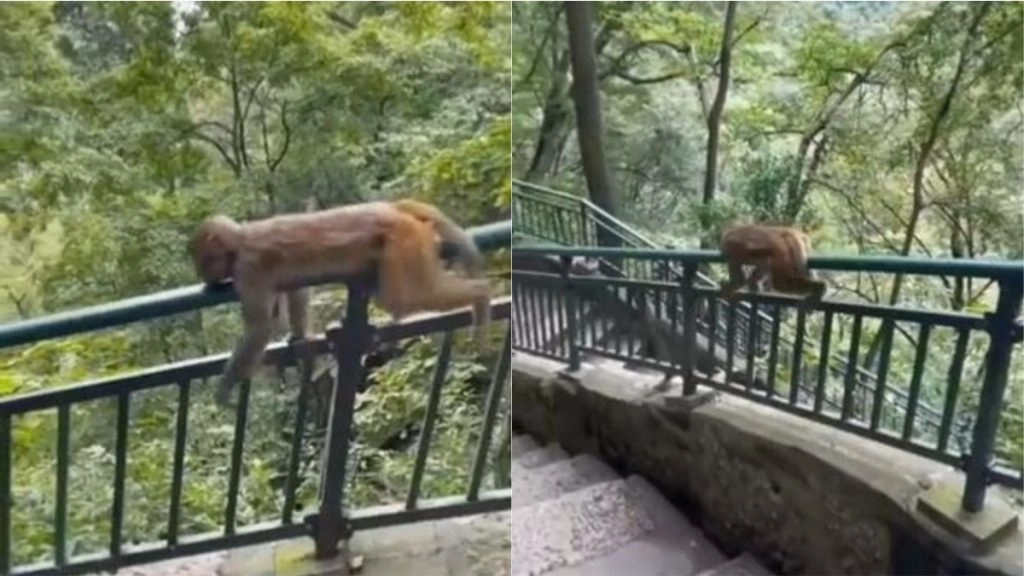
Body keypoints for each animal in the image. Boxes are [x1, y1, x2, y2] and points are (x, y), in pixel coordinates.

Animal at [188, 200, 489, 408]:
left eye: (203, 260)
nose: (203, 275)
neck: (238, 243)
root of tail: (390, 209)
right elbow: (295, 290)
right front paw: (297, 335)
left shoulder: (247, 269)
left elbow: (260, 328)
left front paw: (225, 387)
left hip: (404, 241)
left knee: (403, 297)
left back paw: (481, 296)